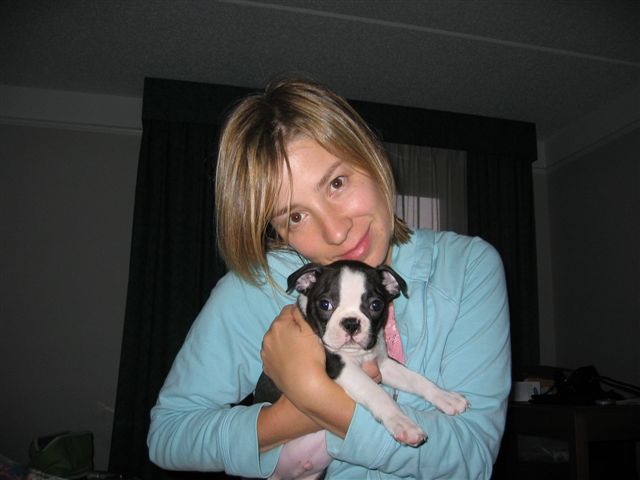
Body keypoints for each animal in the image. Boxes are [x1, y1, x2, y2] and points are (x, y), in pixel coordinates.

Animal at [255, 260, 469, 450]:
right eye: (325, 304)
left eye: (376, 305)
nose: (351, 323)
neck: (358, 354)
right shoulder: (342, 368)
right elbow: (378, 393)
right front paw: (403, 424)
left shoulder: (383, 364)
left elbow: (416, 379)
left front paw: (445, 397)